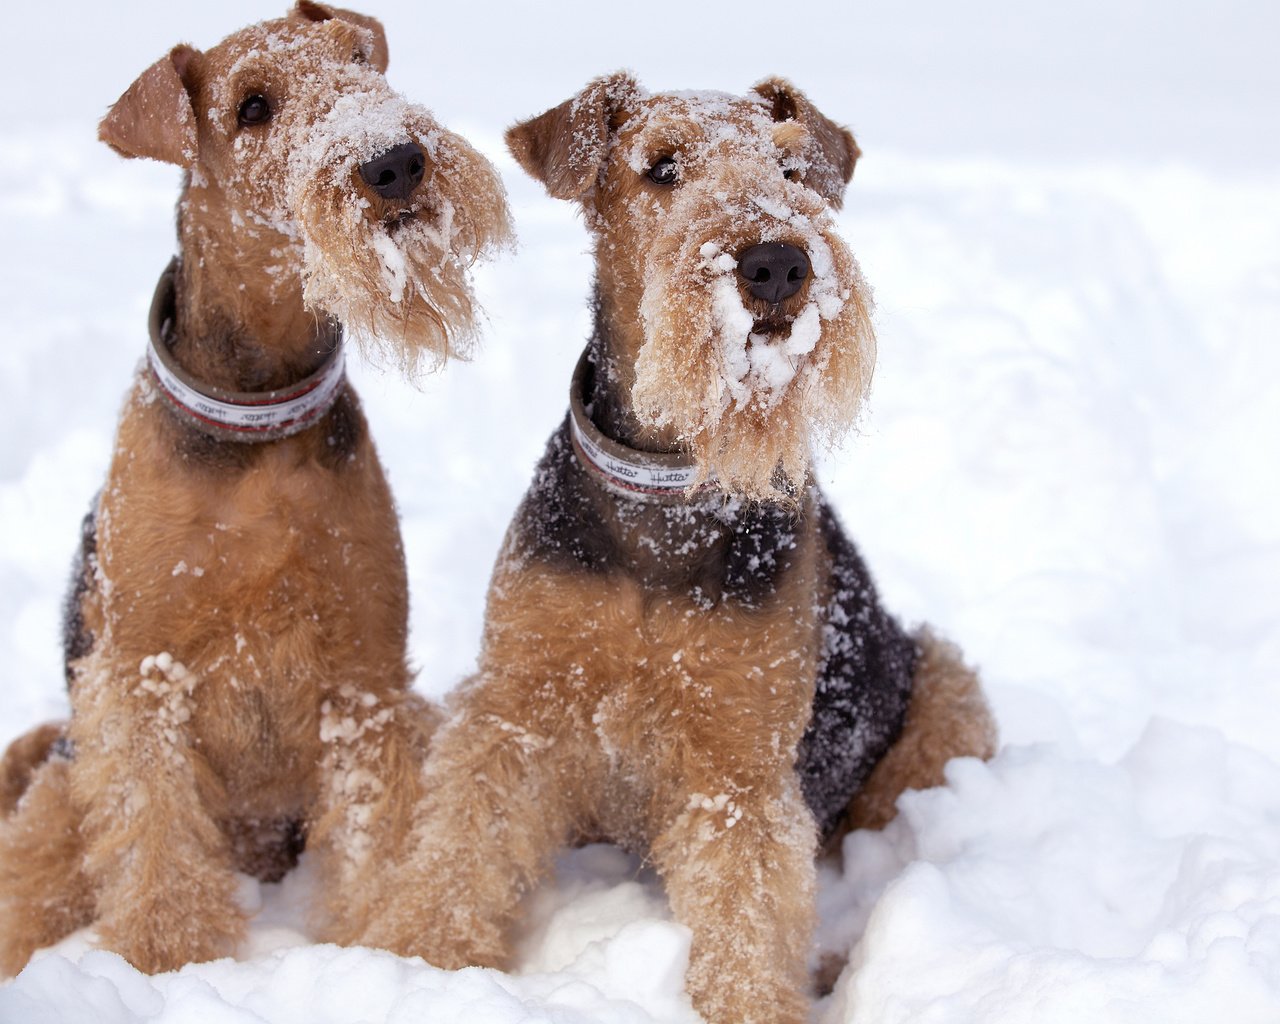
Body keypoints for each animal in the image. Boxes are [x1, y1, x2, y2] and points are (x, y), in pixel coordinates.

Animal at [0, 0, 509, 977]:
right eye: (252, 108)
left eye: (359, 59)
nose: (394, 161)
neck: (259, 412)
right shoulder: (144, 676)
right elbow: (155, 839)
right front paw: (165, 958)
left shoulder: (364, 675)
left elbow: (376, 836)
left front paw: (373, 943)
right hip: (64, 789)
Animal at [355, 73, 993, 1024]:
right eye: (661, 166)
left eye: (792, 167)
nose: (777, 263)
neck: (665, 493)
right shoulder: (519, 705)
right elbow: (468, 840)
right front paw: (418, 962)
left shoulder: (739, 761)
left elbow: (746, 908)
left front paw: (753, 1006)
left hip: (945, 694)